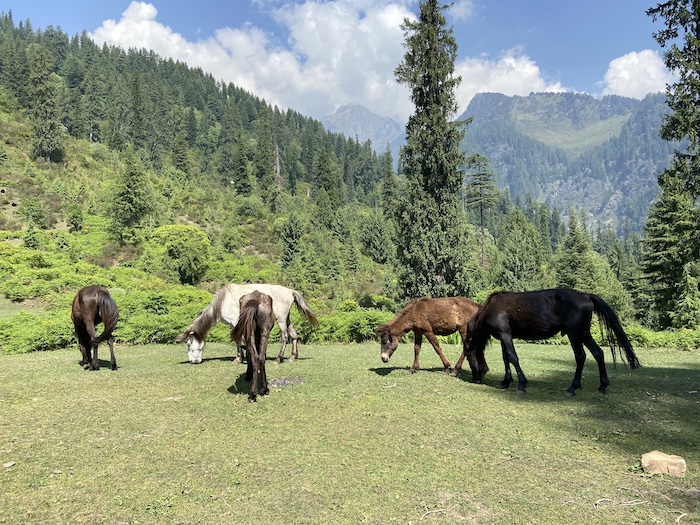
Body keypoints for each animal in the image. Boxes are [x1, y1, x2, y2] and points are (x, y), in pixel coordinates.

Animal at [178, 283, 319, 364]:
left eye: (189, 344)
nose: (193, 361)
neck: (222, 302)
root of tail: (290, 291)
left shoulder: (235, 322)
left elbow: (239, 339)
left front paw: (239, 358)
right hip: (287, 319)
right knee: (294, 334)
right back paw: (292, 357)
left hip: (281, 319)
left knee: (285, 337)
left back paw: (279, 358)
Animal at [466, 288, 641, 395]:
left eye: (468, 357)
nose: (475, 379)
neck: (492, 308)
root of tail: (585, 295)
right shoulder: (504, 336)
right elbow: (506, 358)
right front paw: (505, 382)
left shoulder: (506, 335)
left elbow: (513, 358)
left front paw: (521, 384)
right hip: (584, 333)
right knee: (598, 353)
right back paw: (602, 386)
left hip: (574, 334)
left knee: (581, 357)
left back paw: (572, 388)